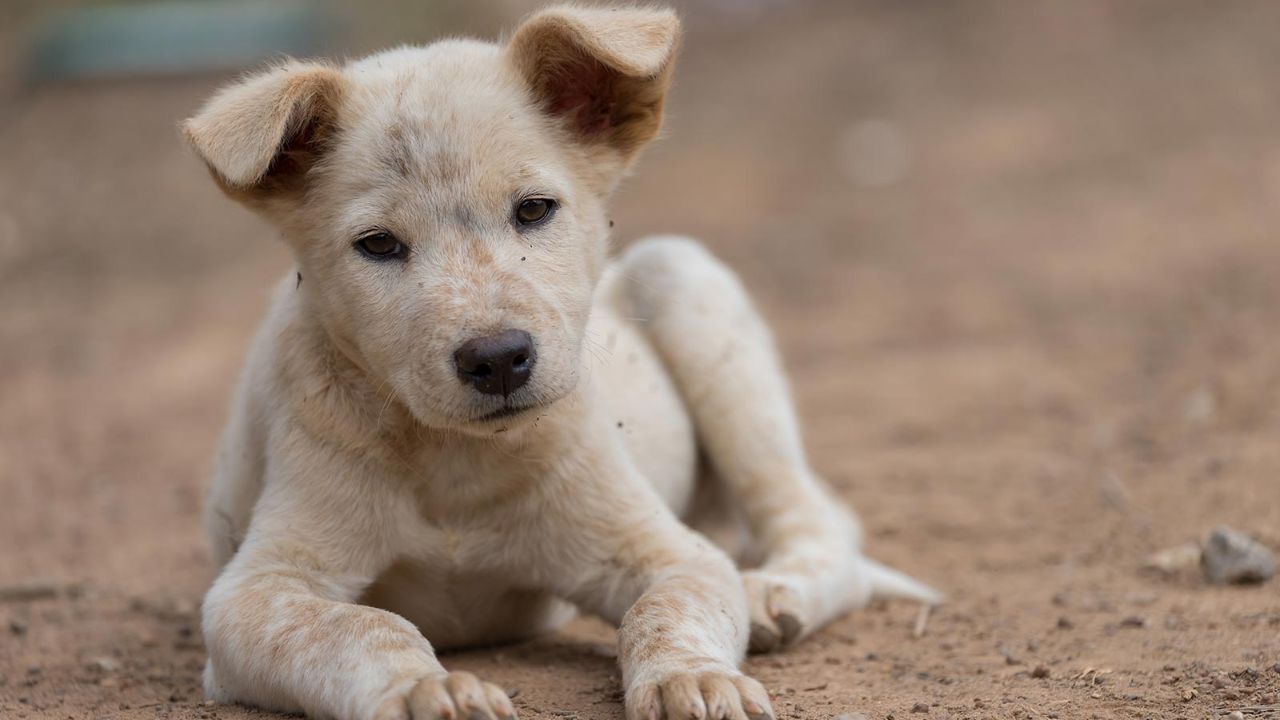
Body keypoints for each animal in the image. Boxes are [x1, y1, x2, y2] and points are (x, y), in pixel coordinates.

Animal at [185, 5, 936, 717]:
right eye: (377, 245)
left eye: (534, 209)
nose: (497, 359)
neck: (457, 463)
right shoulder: (256, 591)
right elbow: (362, 627)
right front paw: (428, 690)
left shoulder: (667, 552)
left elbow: (662, 610)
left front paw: (694, 679)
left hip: (687, 283)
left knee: (818, 525)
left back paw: (772, 593)